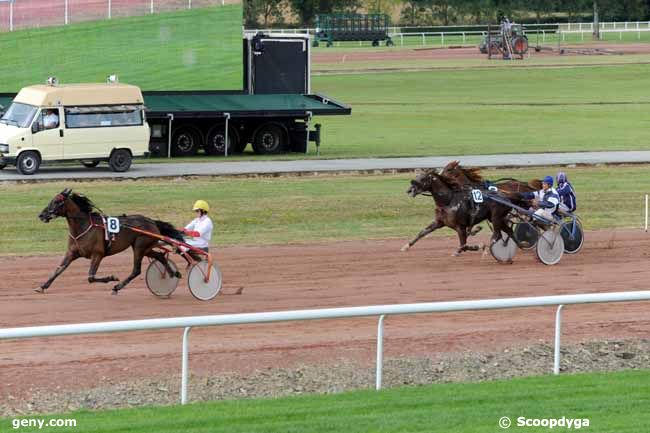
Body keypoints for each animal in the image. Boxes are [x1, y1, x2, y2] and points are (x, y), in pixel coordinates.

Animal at [38, 189, 182, 294]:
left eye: (57, 201)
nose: (41, 215)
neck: (83, 226)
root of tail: (152, 222)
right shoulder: (72, 253)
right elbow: (59, 270)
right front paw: (43, 286)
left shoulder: (97, 254)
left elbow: (91, 277)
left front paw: (112, 278)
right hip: (145, 247)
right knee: (160, 256)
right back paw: (172, 273)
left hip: (140, 247)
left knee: (136, 270)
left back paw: (117, 287)